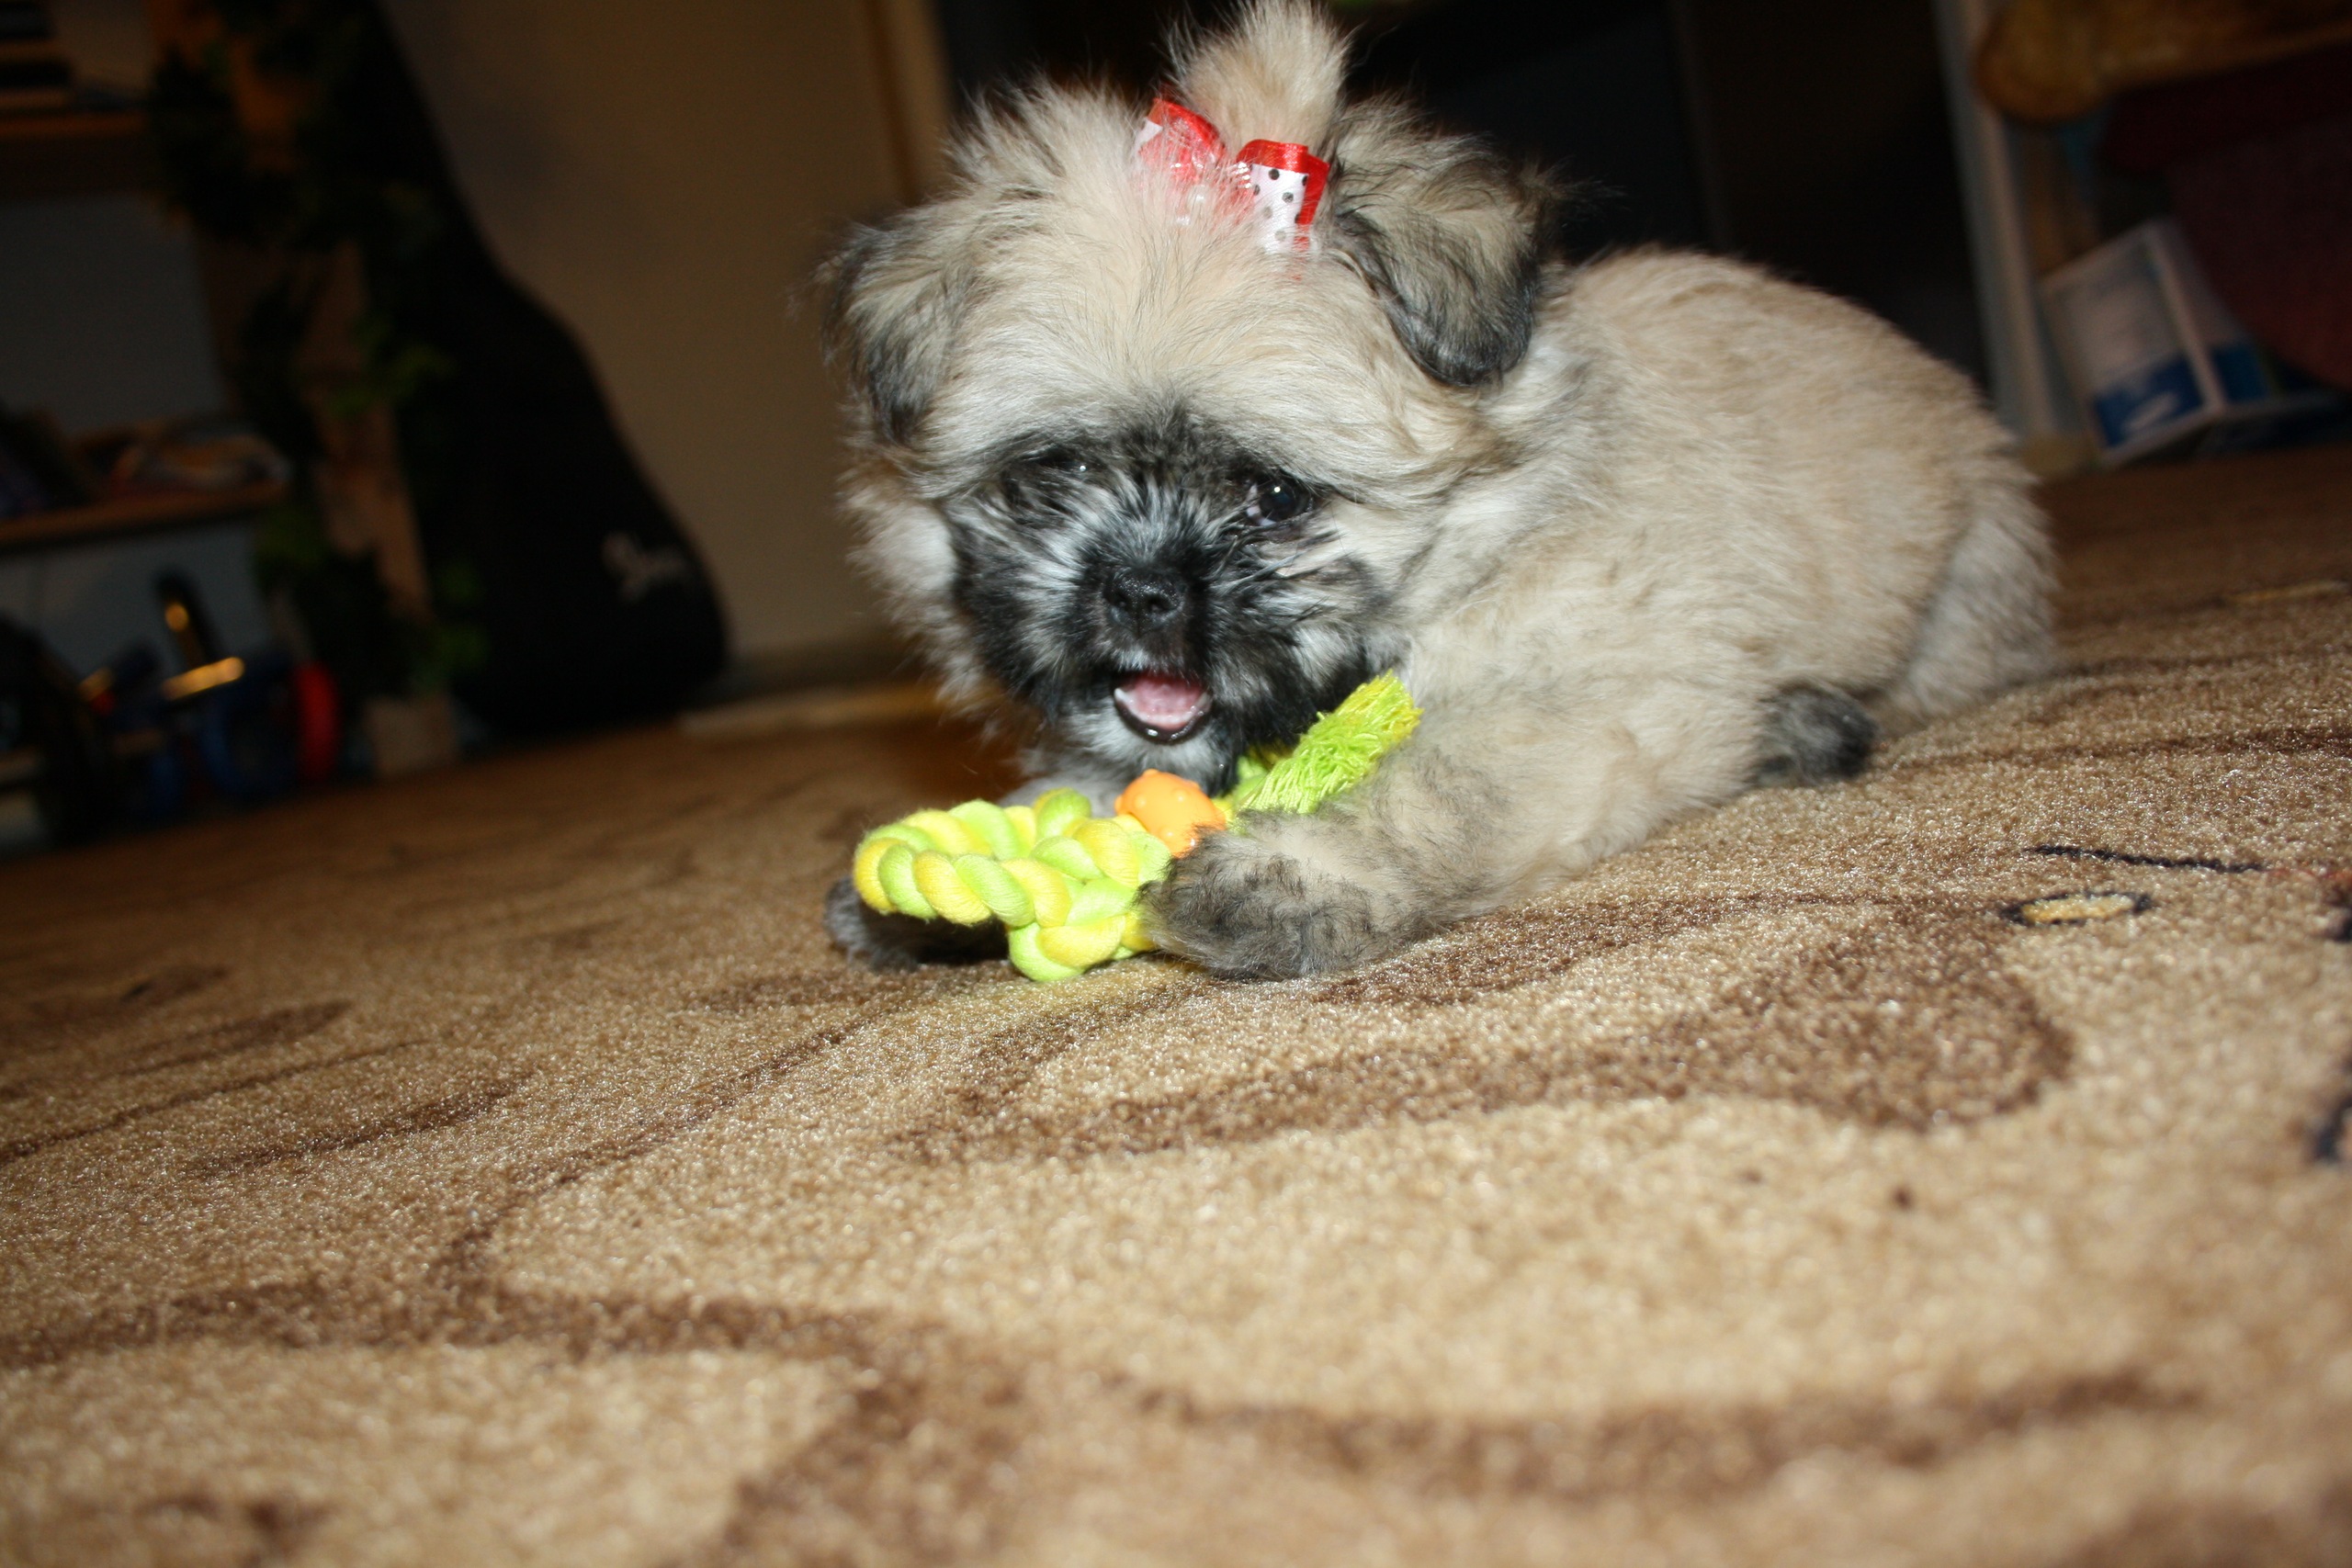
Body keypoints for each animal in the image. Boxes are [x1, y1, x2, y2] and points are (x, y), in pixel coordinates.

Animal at [822, 0, 2052, 979]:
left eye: (1275, 497)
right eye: (1059, 469)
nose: (1139, 590)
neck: (1480, 534)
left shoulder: (1587, 701)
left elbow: (1439, 788)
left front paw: (1289, 878)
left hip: (1955, 602)